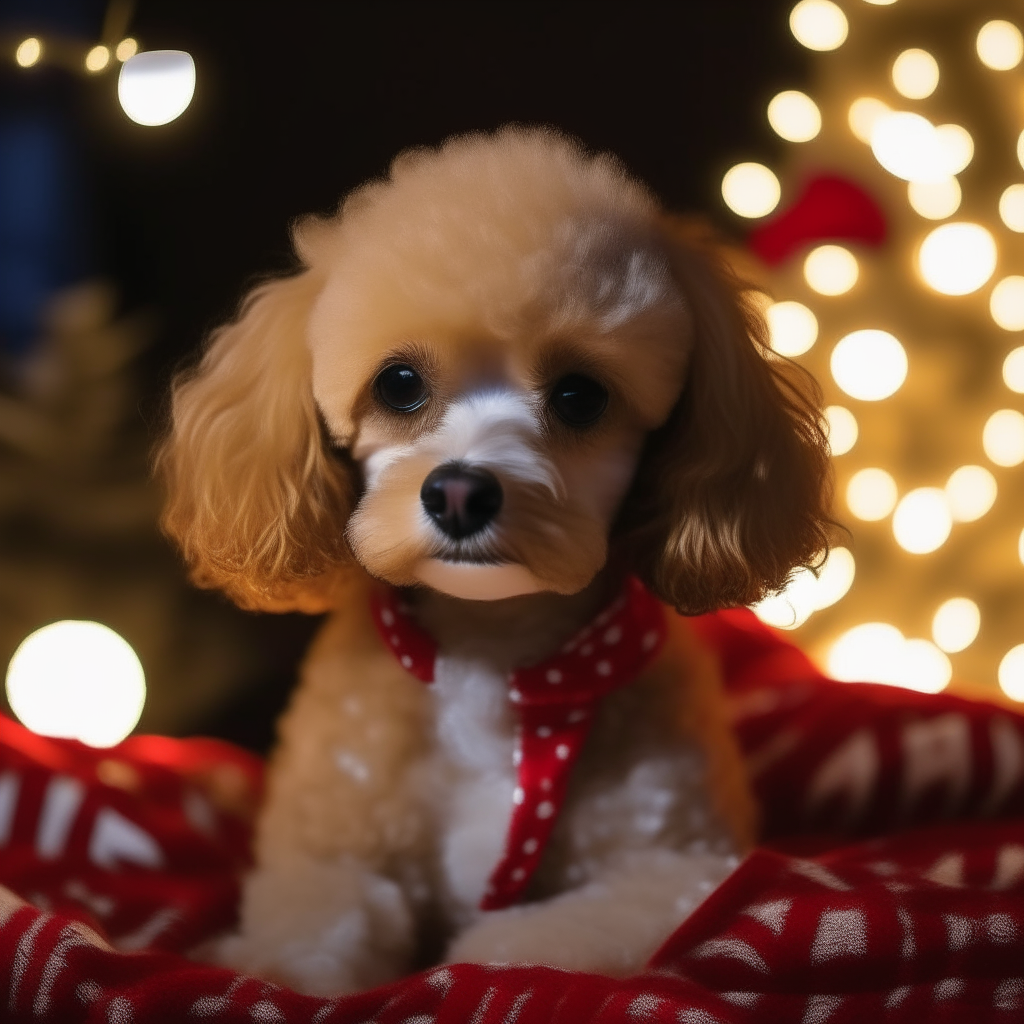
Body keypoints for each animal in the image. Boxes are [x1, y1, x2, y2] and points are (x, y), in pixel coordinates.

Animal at [157, 125, 831, 991]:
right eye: (399, 383)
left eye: (581, 395)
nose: (459, 493)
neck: (490, 653)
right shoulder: (323, 860)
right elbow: (312, 944)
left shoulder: (678, 869)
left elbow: (513, 944)